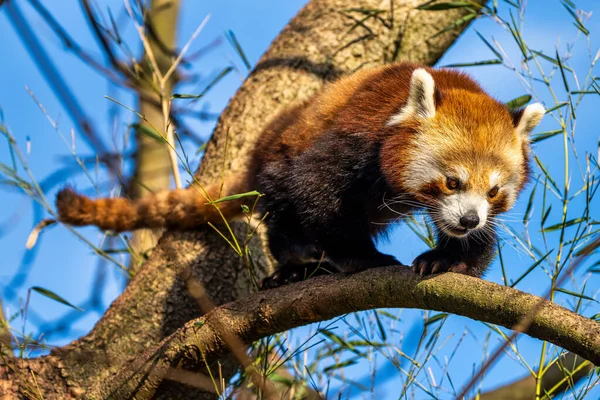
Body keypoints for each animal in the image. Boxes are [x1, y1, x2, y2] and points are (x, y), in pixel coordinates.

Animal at [55, 62, 544, 288]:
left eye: (494, 192)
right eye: (451, 182)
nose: (469, 219)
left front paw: (451, 258)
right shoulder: (354, 140)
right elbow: (316, 193)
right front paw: (360, 258)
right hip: (278, 157)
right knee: (284, 212)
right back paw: (297, 267)